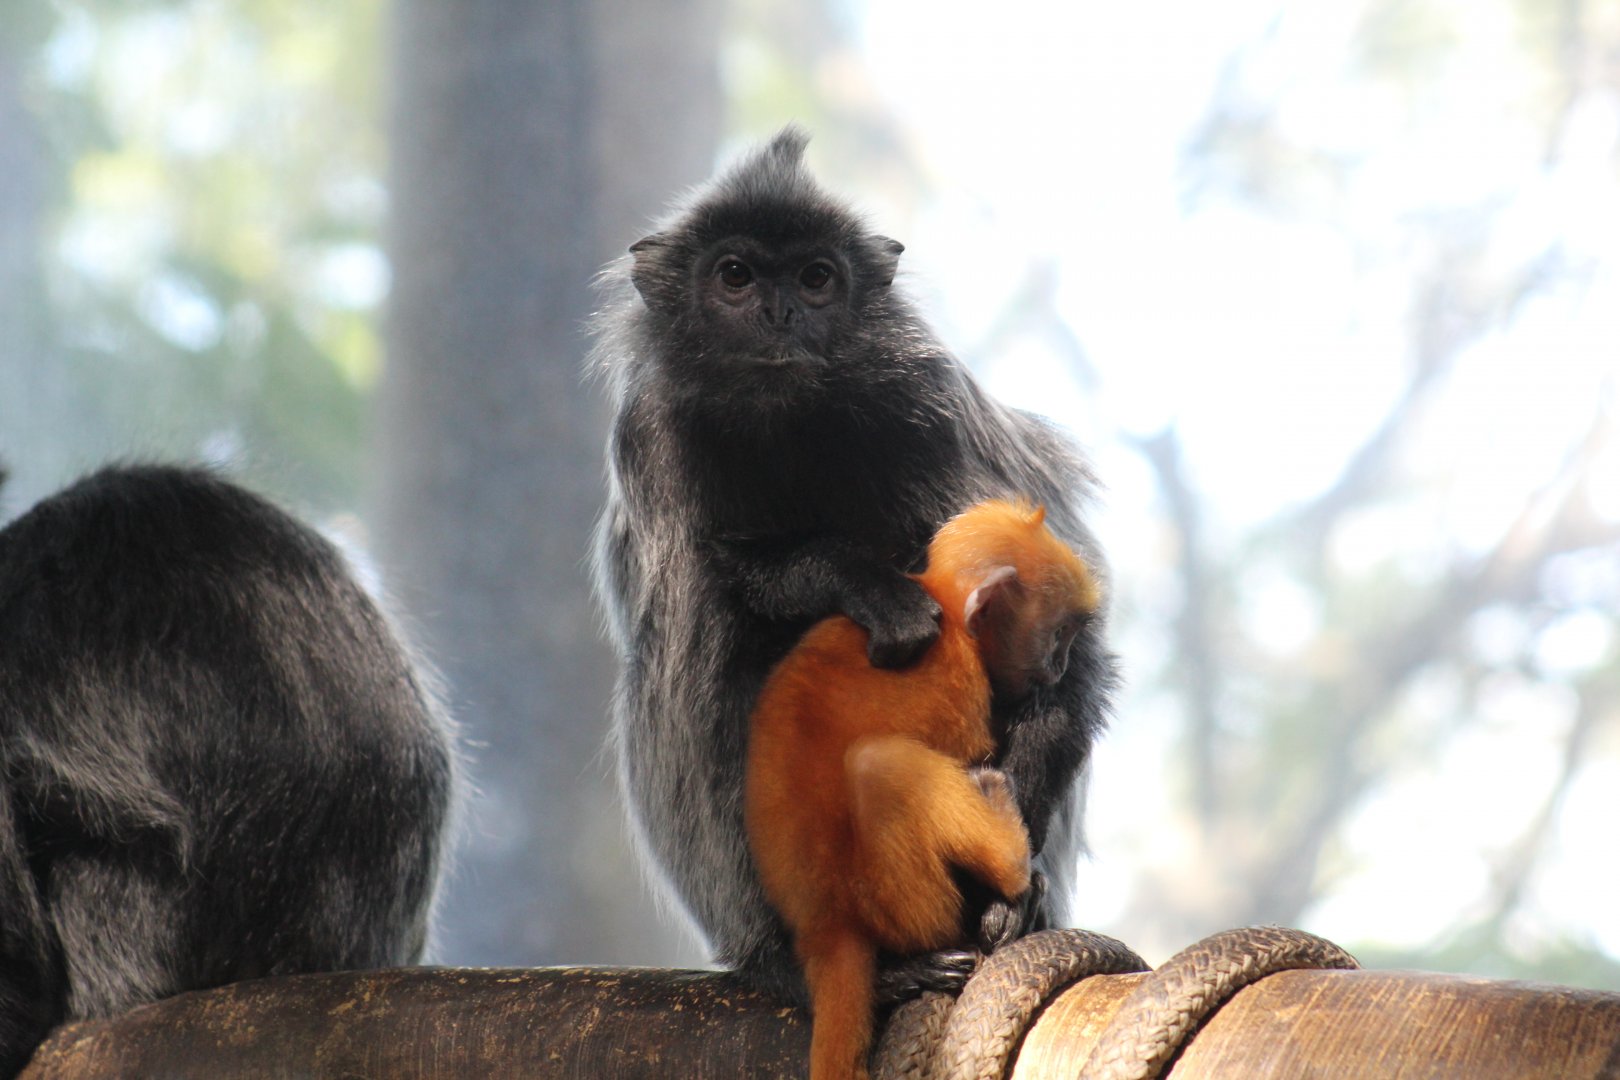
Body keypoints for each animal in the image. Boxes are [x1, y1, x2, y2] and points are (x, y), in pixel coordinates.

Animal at [590, 126, 1115, 1005]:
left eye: (816, 278)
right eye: (735, 276)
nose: (780, 313)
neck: (792, 418)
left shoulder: (927, 406)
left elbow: (1063, 635)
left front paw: (1009, 858)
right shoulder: (656, 435)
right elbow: (734, 572)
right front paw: (864, 585)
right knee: (697, 632)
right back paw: (796, 952)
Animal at [745, 499, 1101, 1080]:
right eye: (1060, 634)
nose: (1061, 663)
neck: (947, 610)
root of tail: (825, 925)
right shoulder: (959, 676)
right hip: (882, 896)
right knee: (881, 768)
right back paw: (1005, 861)